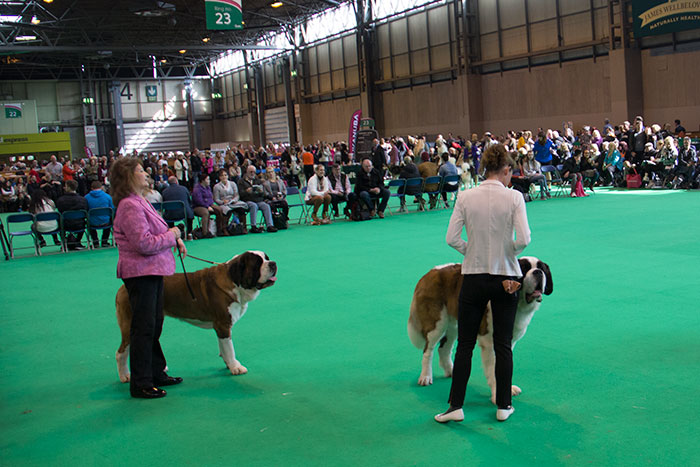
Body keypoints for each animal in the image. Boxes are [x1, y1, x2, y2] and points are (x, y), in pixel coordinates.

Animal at [115, 250, 276, 382]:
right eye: (257, 263)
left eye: (266, 258)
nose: (273, 263)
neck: (235, 281)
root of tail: (122, 288)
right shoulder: (223, 324)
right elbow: (229, 347)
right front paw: (235, 367)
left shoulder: (220, 327)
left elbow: (223, 346)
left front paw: (227, 363)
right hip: (130, 325)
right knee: (121, 353)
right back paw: (125, 376)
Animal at [404, 258, 552, 404]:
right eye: (525, 269)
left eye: (542, 269)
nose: (538, 272)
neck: (517, 303)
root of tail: (430, 272)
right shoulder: (490, 343)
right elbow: (493, 369)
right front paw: (497, 396)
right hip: (437, 323)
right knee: (428, 350)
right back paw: (425, 376)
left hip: (456, 324)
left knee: (444, 349)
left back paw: (452, 371)